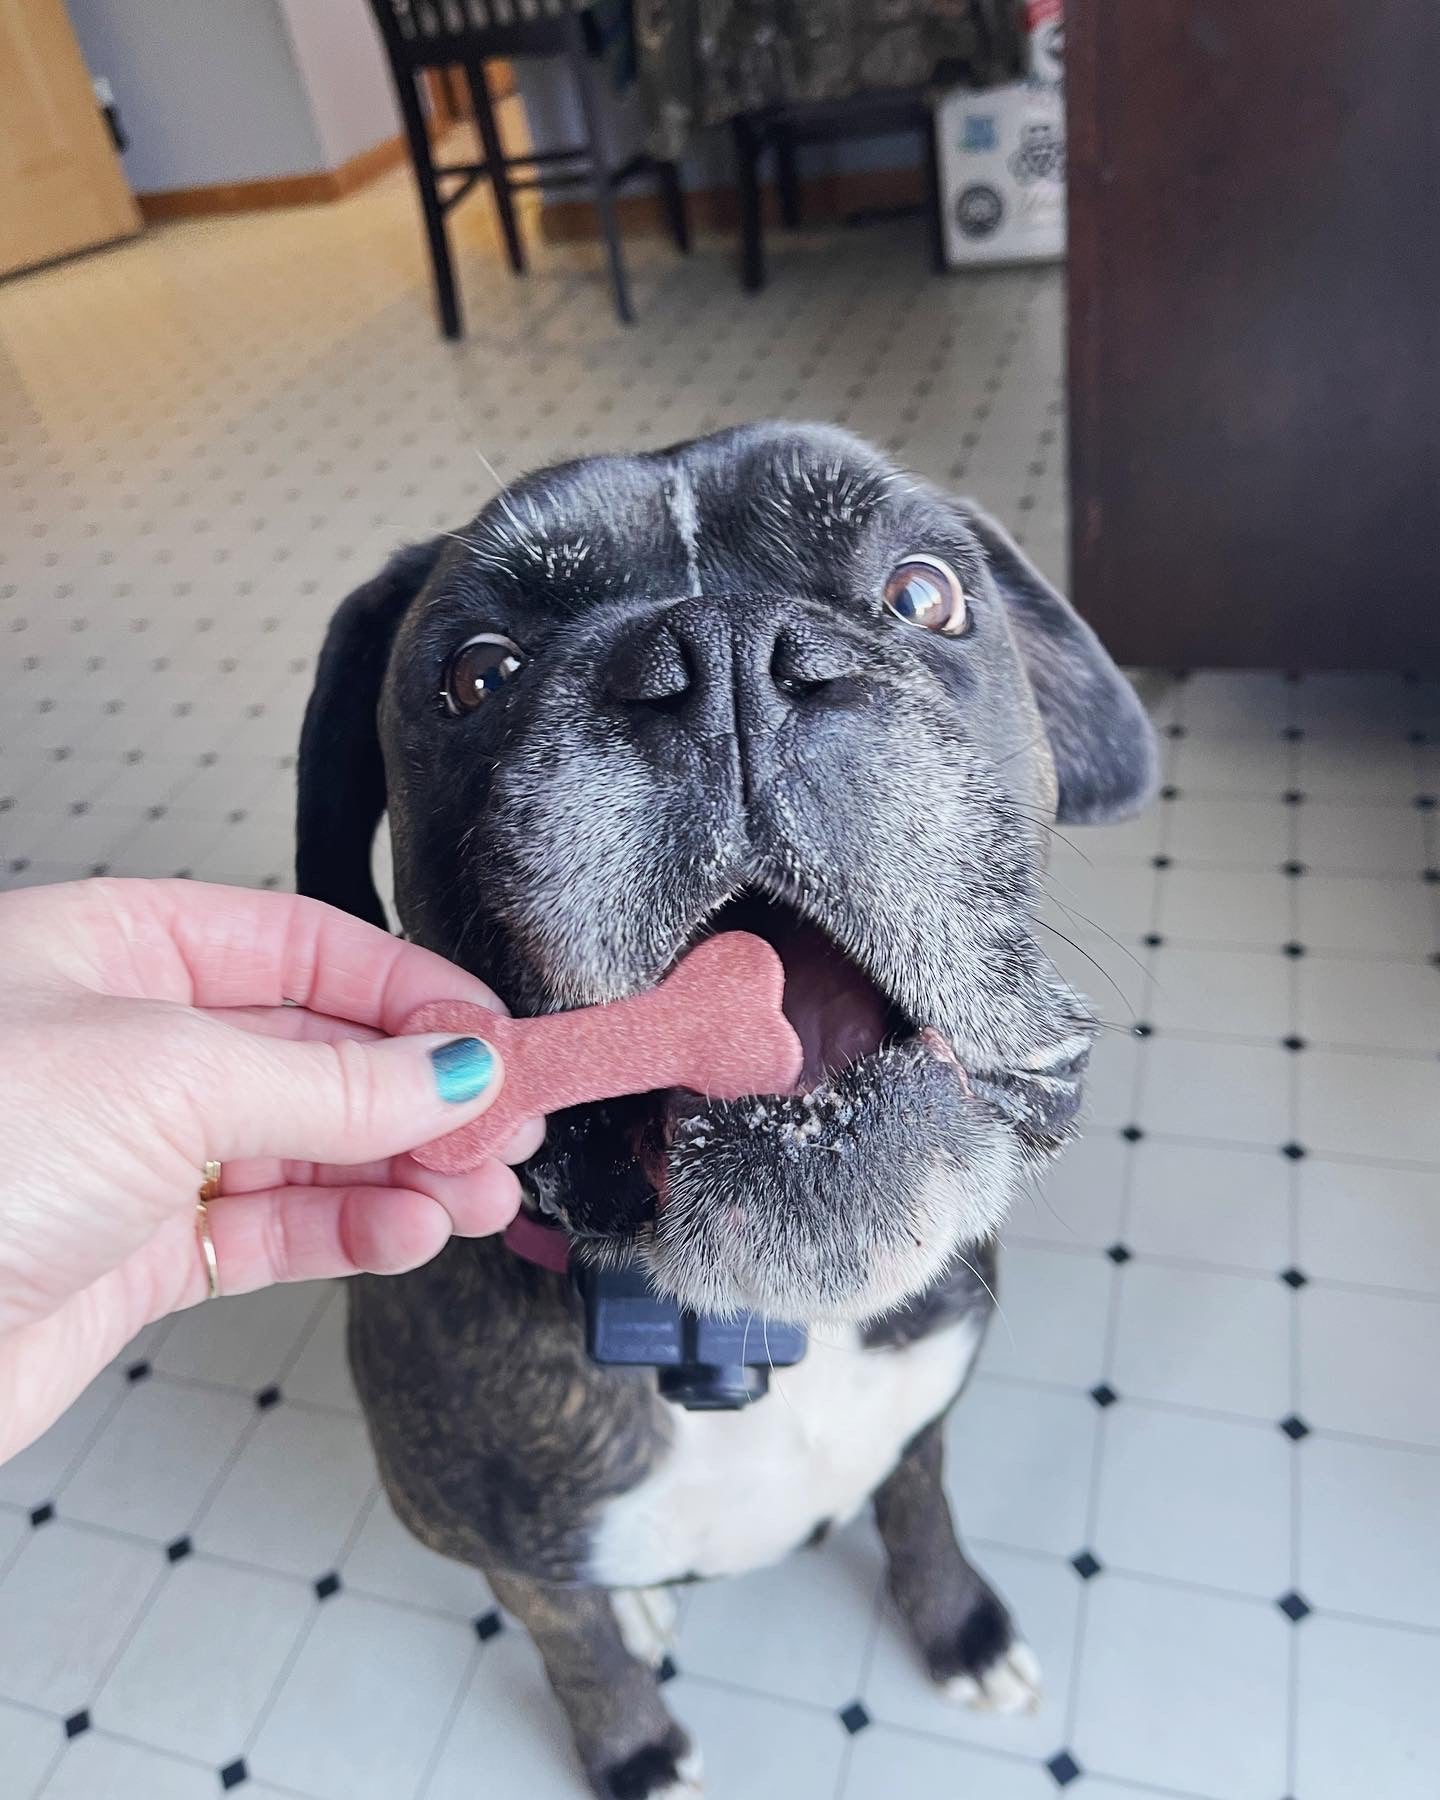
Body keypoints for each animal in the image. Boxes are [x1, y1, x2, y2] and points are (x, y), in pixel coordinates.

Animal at [295, 414, 1159, 1792]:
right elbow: (573, 1644)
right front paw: (634, 1746)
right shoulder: (490, 1540)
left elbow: (919, 1504)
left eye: (925, 595)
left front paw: (959, 1624)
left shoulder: (927, 1409)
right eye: (478, 675)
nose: (727, 656)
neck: (749, 1332)